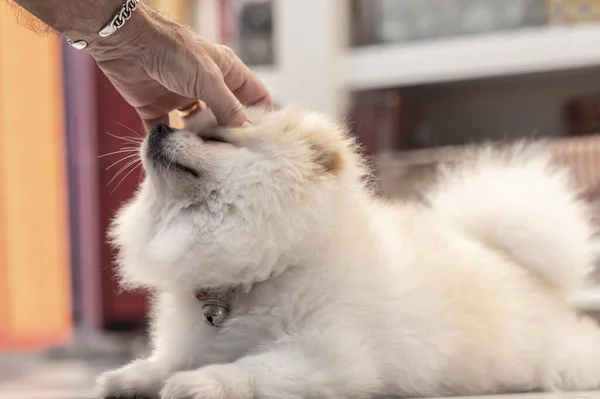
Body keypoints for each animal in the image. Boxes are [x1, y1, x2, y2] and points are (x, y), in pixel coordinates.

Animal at [96, 107, 600, 399]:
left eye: (216, 139)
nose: (158, 125)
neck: (260, 271)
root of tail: (517, 264)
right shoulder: (194, 339)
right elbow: (166, 360)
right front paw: (130, 378)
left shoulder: (327, 356)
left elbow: (251, 367)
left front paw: (200, 383)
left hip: (555, 358)